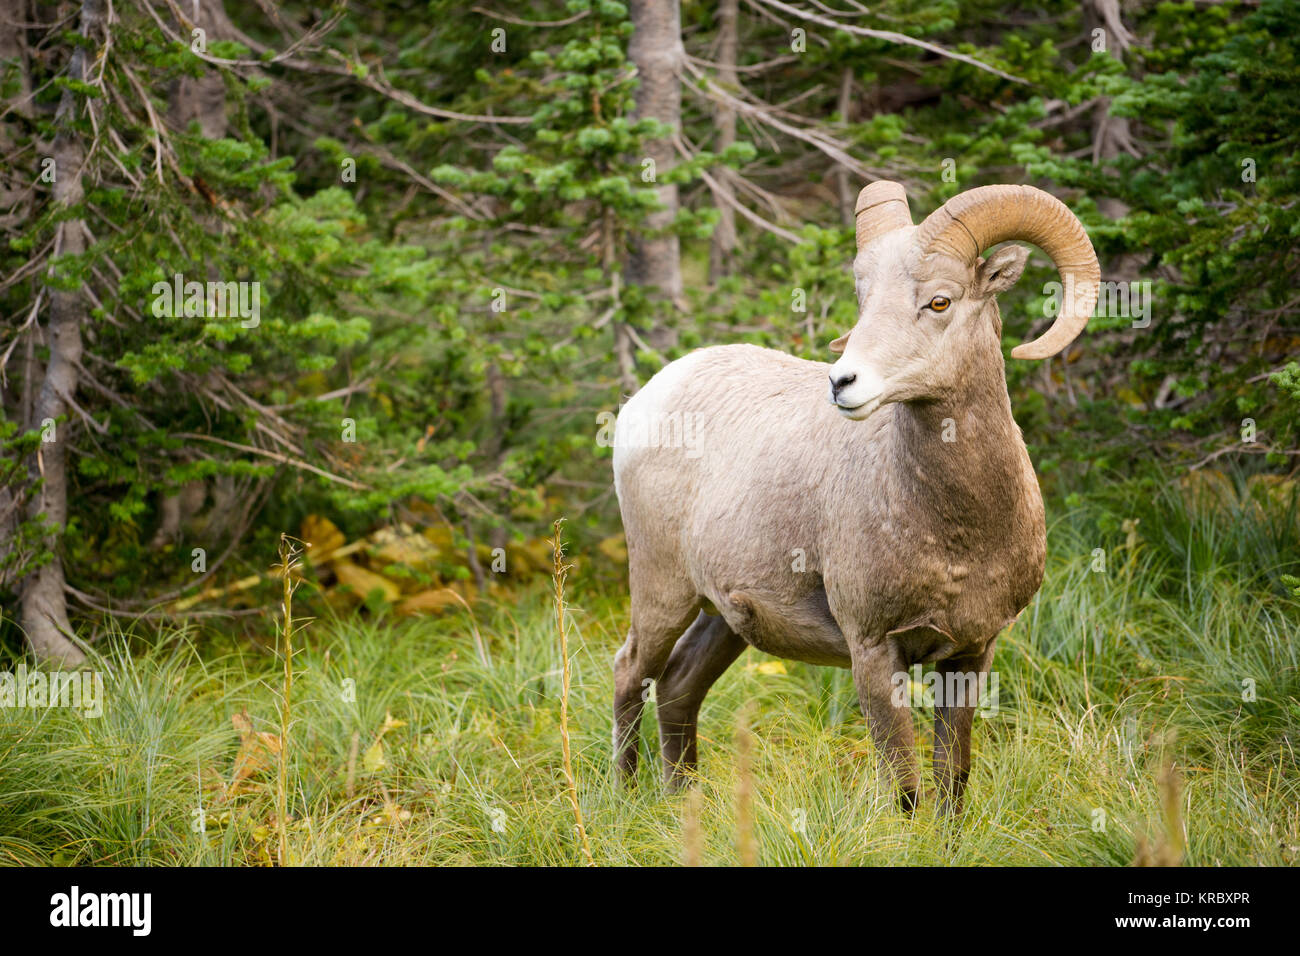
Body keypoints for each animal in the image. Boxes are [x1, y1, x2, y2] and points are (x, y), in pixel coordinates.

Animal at [613, 180, 1102, 816]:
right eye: (865, 302)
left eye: (939, 302)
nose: (842, 383)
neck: (956, 537)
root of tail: (644, 399)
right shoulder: (871, 650)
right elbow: (904, 787)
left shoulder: (971, 655)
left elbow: (952, 779)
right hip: (663, 592)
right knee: (630, 673)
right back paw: (624, 799)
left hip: (723, 619)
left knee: (677, 688)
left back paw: (681, 802)